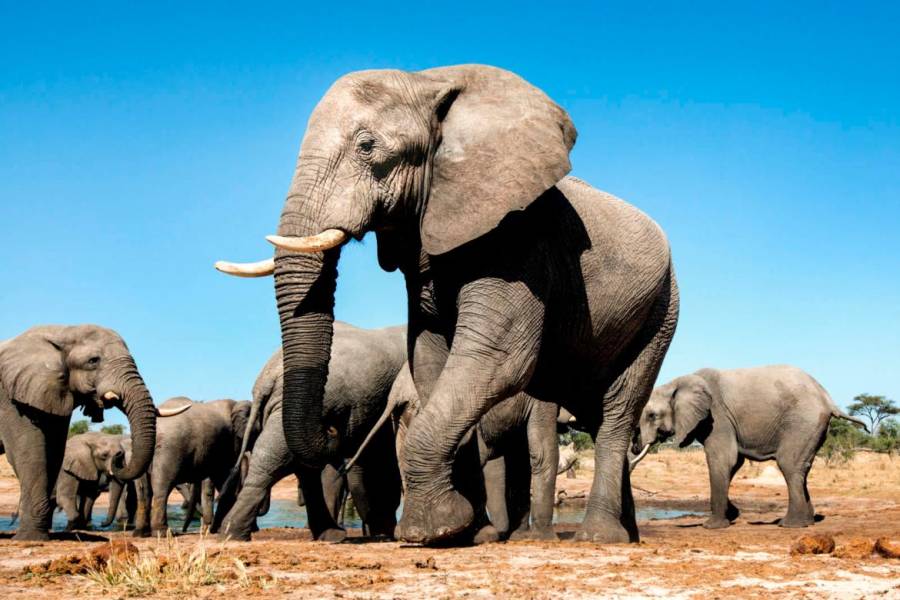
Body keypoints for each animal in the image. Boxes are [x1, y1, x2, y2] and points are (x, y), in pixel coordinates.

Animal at [0, 325, 166, 540]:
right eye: (93, 361)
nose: (119, 457)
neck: (60, 331)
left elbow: (53, 452)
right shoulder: (11, 398)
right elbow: (29, 453)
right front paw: (30, 538)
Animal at [133, 396, 257, 536]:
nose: (184, 530)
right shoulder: (230, 442)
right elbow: (224, 477)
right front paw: (219, 529)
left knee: (144, 491)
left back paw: (141, 533)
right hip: (170, 449)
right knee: (162, 485)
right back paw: (163, 533)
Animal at [632, 365, 868, 529]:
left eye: (652, 416)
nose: (636, 446)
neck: (676, 383)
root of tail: (828, 399)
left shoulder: (716, 417)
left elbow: (722, 459)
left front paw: (712, 526)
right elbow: (734, 462)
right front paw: (732, 514)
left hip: (802, 422)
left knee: (789, 464)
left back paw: (790, 525)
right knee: (802, 468)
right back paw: (807, 521)